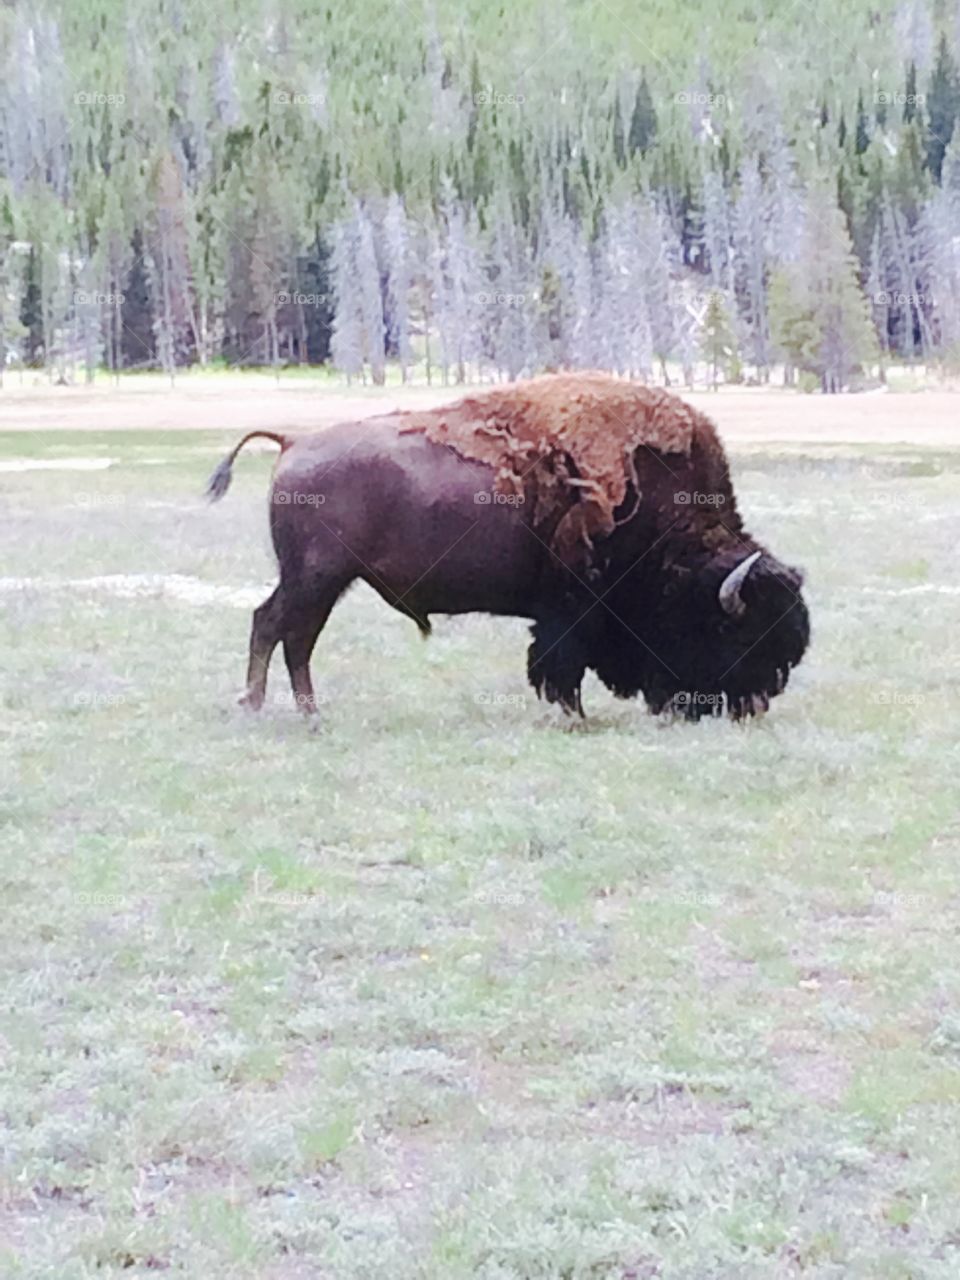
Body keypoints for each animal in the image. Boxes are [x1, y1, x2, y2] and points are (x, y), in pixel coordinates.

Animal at [207, 373, 809, 720]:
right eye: (733, 632)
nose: (756, 702)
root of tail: (295, 441)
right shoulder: (571, 610)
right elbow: (560, 665)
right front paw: (574, 718)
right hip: (317, 578)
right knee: (282, 629)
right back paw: (283, 712)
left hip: (319, 581)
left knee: (282, 630)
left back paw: (288, 711)